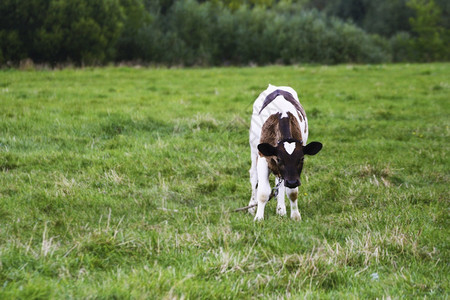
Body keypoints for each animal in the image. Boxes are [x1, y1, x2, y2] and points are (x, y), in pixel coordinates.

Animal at [246, 84, 324, 220]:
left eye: (302, 159)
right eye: (279, 159)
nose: (292, 182)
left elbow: (292, 192)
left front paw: (295, 216)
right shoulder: (263, 157)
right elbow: (263, 191)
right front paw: (258, 218)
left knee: (280, 182)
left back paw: (281, 210)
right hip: (254, 151)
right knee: (254, 177)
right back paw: (252, 207)